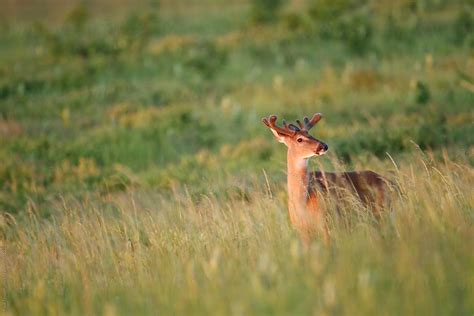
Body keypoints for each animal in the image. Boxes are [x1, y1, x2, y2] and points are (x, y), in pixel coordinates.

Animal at [262, 113, 390, 242]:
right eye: (299, 139)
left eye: (310, 134)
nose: (324, 146)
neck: (301, 202)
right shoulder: (302, 230)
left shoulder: (326, 222)